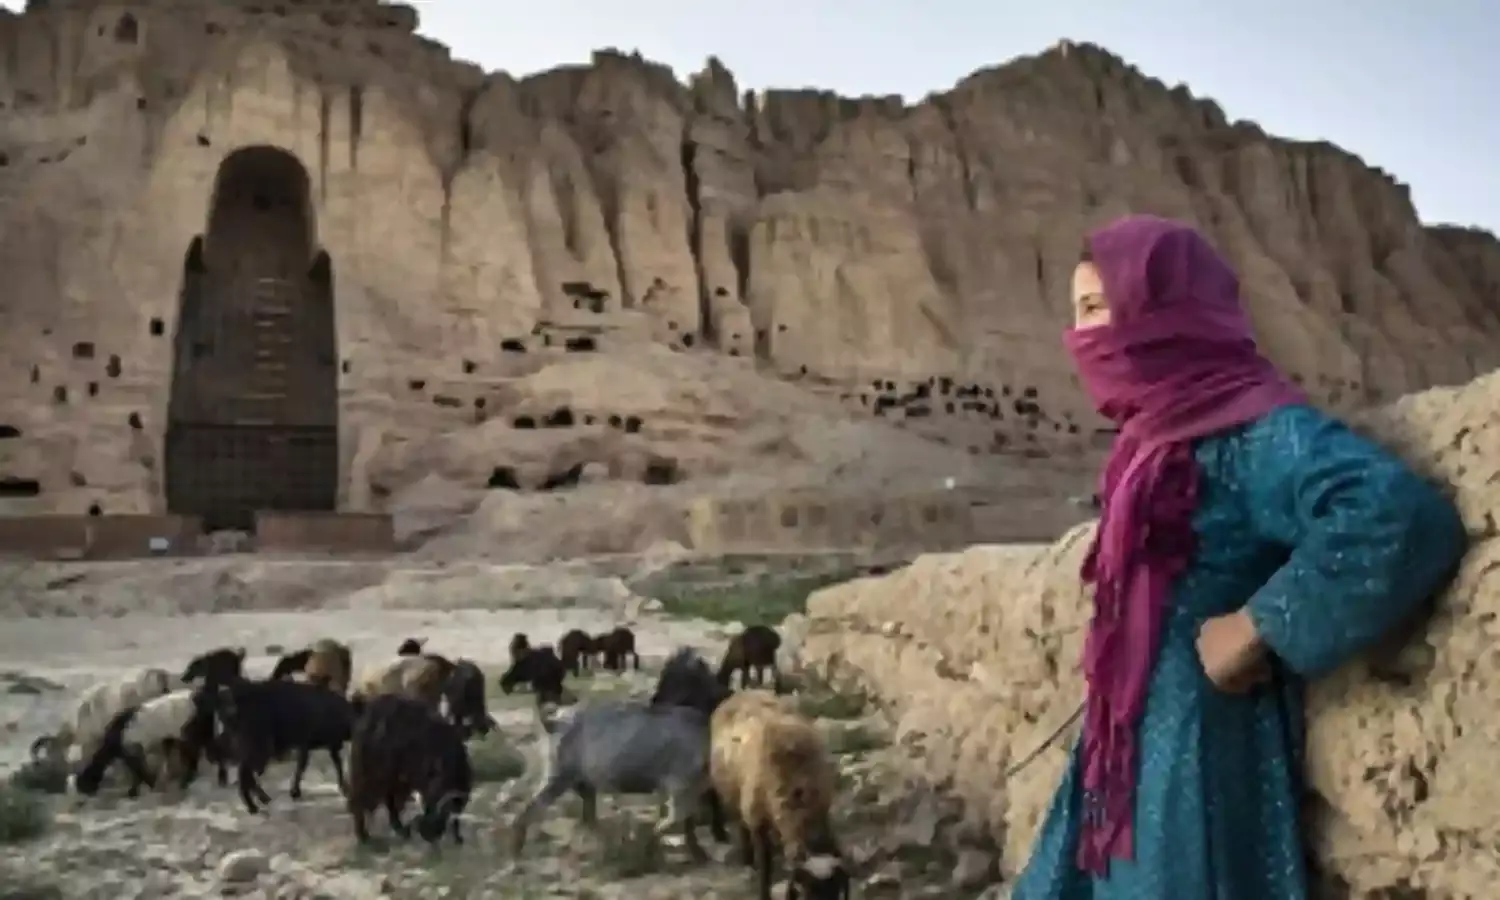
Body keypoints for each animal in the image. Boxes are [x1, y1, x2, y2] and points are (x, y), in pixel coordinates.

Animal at [71, 689, 218, 798]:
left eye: (84, 783)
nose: (85, 793)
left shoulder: (131, 747)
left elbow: (138, 770)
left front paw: (142, 787)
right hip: (199, 729)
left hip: (187, 726)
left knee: (192, 752)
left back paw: (186, 780)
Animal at [208, 677, 355, 814]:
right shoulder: (308, 742)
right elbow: (303, 766)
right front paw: (295, 792)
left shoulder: (326, 744)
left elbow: (335, 764)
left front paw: (344, 787)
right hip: (258, 743)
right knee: (243, 770)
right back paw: (255, 804)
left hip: (243, 740)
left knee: (235, 762)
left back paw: (258, 800)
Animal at [347, 694, 472, 846]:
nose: (428, 834)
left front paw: (457, 836)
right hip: (373, 776)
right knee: (359, 800)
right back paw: (364, 835)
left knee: (386, 801)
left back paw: (398, 828)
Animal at [509, 698, 728, 859]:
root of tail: (554, 721)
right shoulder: (680, 786)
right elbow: (675, 819)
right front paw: (647, 846)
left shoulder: (687, 789)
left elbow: (686, 823)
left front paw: (698, 853)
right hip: (559, 776)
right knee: (532, 807)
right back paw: (516, 849)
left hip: (583, 783)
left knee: (588, 818)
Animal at [710, 690, 850, 900]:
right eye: (807, 895)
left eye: (836, 894)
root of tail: (742, 692)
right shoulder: (757, 821)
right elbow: (765, 866)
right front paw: (763, 892)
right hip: (732, 798)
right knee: (741, 826)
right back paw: (747, 860)